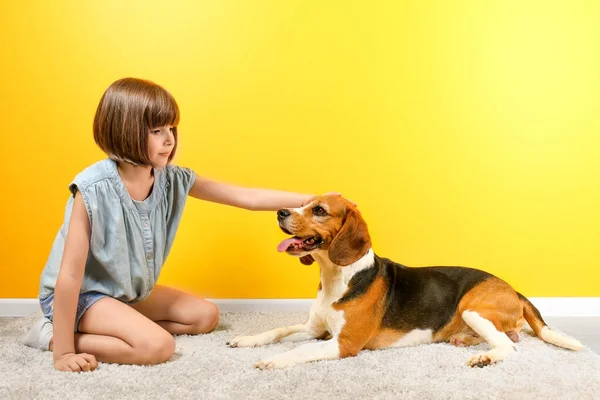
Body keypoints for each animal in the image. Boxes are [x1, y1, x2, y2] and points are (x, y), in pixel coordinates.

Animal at [227, 194, 584, 368]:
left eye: (319, 210)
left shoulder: (344, 343)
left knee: (509, 345)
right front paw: (246, 340)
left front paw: (273, 360)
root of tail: (513, 289)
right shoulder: (314, 329)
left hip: (473, 309)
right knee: (508, 337)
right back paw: (465, 341)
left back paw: (484, 357)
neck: (337, 277)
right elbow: (278, 330)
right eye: (302, 204)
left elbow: (299, 351)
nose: (280, 211)